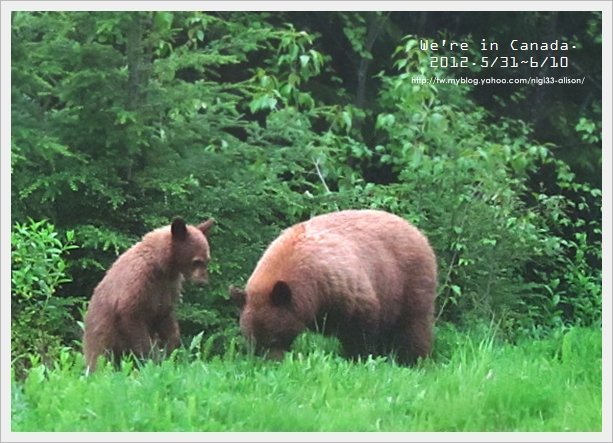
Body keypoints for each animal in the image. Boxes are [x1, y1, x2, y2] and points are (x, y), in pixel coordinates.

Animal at [82, 217, 213, 372]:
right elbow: (131, 315)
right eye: (196, 261)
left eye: (207, 260)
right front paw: (151, 357)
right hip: (102, 335)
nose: (203, 282)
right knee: (103, 356)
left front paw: (169, 351)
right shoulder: (139, 281)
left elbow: (167, 318)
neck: (162, 266)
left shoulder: (168, 288)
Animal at [230, 210, 436, 366]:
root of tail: (417, 231)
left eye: (274, 338)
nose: (270, 363)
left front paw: (357, 357)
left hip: (408, 280)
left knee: (412, 325)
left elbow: (360, 324)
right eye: (252, 341)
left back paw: (411, 360)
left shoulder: (341, 285)